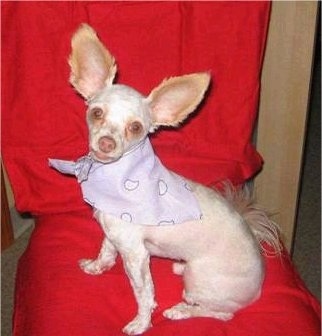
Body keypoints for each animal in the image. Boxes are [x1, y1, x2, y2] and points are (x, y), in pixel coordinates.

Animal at [49, 24, 280, 336]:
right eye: (96, 113)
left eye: (136, 128)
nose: (107, 143)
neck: (118, 179)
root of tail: (257, 289)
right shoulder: (114, 234)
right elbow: (106, 251)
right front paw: (97, 267)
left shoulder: (136, 255)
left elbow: (144, 294)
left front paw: (141, 323)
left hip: (201, 281)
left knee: (220, 314)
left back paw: (180, 311)